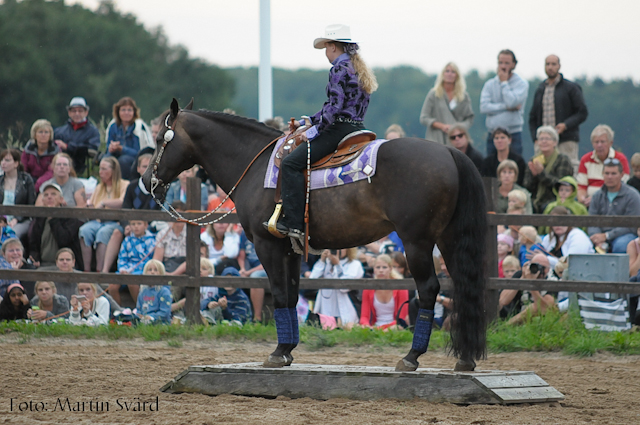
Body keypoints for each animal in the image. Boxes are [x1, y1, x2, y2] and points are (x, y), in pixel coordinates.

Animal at [144, 99, 484, 372]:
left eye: (161, 138)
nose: (146, 181)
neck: (255, 164)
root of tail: (449, 152)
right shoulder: (291, 248)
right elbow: (293, 295)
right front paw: (288, 350)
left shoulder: (267, 245)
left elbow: (280, 294)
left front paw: (278, 353)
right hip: (449, 239)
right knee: (463, 286)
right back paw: (465, 359)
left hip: (417, 242)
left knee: (429, 289)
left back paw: (412, 357)